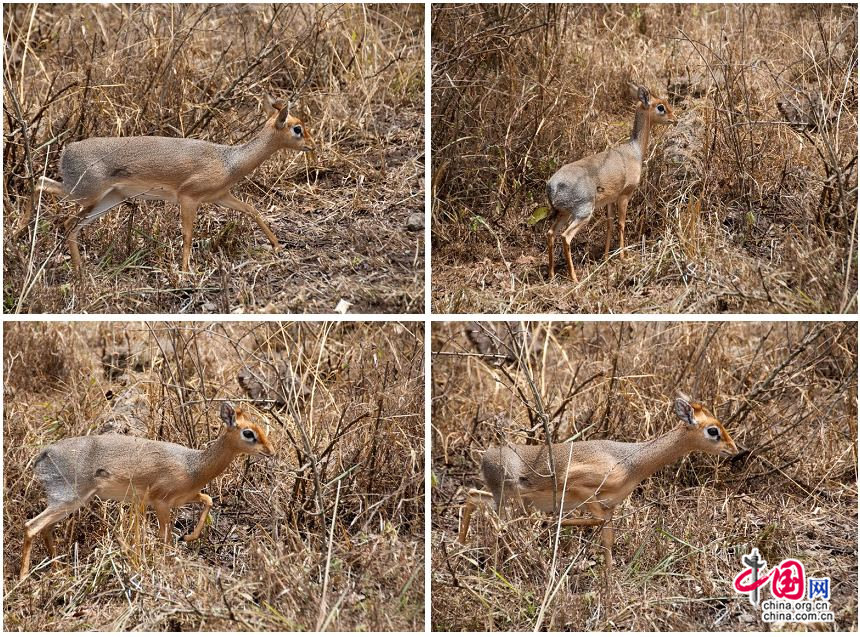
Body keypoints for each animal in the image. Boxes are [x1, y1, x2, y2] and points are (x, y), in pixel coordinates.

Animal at [18, 402, 274, 580]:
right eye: (248, 433)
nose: (270, 451)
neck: (193, 466)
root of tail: (42, 455)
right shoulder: (160, 502)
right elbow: (165, 538)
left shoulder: (184, 498)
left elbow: (209, 500)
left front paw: (188, 537)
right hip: (68, 499)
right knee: (31, 526)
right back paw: (23, 579)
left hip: (71, 502)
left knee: (45, 528)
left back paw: (58, 569)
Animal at [35, 95, 316, 274]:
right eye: (297, 128)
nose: (312, 145)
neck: (229, 161)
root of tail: (66, 151)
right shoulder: (188, 198)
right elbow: (188, 235)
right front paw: (184, 272)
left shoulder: (220, 196)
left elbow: (252, 210)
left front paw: (278, 246)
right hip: (84, 194)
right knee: (49, 195)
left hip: (106, 200)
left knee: (62, 214)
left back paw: (78, 272)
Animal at [456, 396, 740, 568]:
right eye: (713, 430)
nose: (735, 449)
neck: (629, 461)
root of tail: (485, 457)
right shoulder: (578, 487)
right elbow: (591, 521)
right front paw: (556, 525)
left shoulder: (610, 506)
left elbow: (608, 540)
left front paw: (610, 584)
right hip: (510, 500)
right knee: (495, 522)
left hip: (506, 501)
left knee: (472, 497)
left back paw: (461, 547)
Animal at [548, 82, 676, 280]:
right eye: (660, 107)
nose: (674, 118)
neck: (634, 151)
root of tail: (552, 185)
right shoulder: (624, 195)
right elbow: (621, 223)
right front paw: (624, 257)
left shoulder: (610, 200)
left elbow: (609, 224)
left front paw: (607, 256)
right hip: (583, 213)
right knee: (565, 237)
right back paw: (574, 277)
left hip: (564, 213)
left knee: (551, 233)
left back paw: (552, 274)